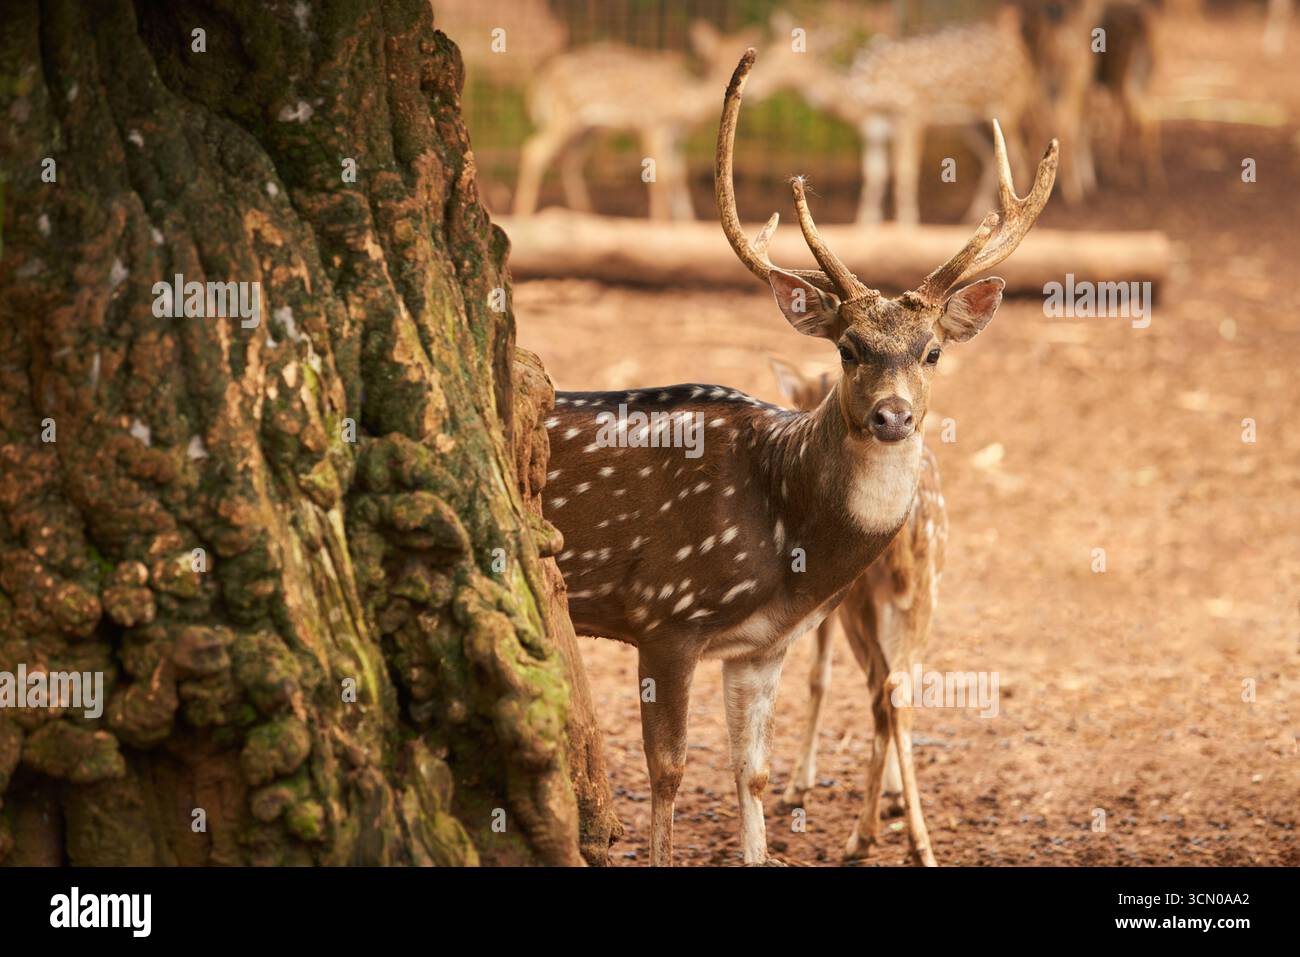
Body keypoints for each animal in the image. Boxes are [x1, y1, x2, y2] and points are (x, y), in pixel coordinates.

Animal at [512, 21, 756, 221]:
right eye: (714, 58)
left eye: (736, 54)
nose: (731, 80)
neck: (683, 103)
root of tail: (539, 83)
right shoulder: (653, 126)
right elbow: (661, 179)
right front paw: (660, 224)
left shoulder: (675, 138)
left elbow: (678, 177)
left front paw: (687, 225)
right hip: (564, 117)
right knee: (534, 151)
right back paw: (523, 215)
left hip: (587, 128)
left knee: (570, 159)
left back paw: (586, 214)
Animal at [768, 358, 947, 866]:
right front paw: (893, 793)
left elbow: (818, 675)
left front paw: (797, 785)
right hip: (925, 591)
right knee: (900, 689)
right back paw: (915, 840)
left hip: (860, 596)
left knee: (878, 689)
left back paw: (861, 837)